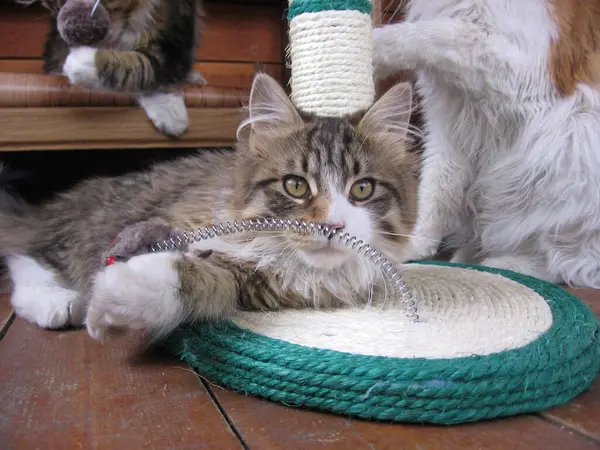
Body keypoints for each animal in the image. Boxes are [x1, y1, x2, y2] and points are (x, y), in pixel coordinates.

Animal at [0, 74, 418, 340]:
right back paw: (57, 302)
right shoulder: (175, 219)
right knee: (26, 255)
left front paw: (122, 292)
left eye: (361, 189)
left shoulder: (250, 284)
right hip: (85, 224)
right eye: (296, 185)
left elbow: (202, 282)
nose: (333, 226)